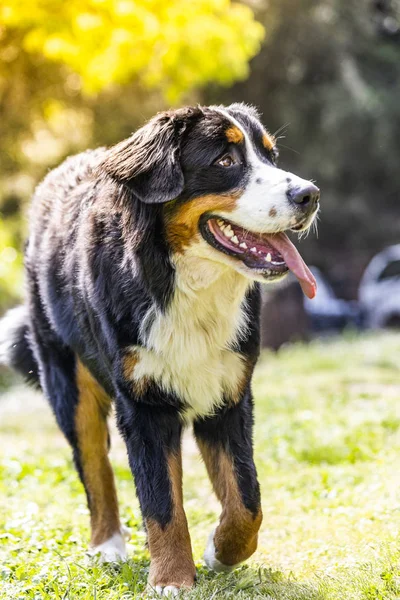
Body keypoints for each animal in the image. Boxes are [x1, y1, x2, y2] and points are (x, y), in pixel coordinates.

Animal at [0, 103, 318, 596]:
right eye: (225, 161)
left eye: (269, 155)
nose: (310, 195)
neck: (186, 286)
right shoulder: (144, 406)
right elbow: (162, 504)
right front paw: (171, 579)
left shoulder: (228, 395)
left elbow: (247, 501)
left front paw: (220, 553)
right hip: (69, 382)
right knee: (95, 468)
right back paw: (107, 546)